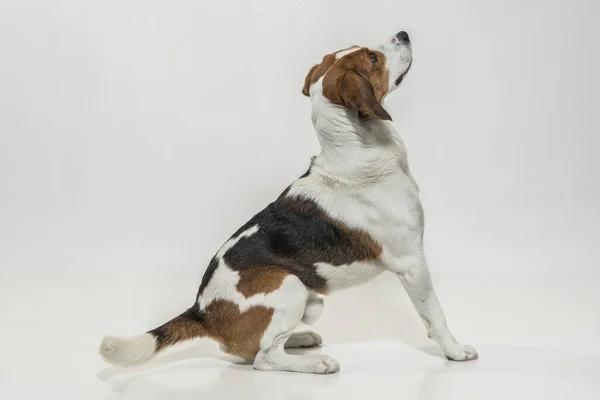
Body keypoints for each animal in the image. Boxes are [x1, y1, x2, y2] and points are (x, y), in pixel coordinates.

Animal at [101, 29, 480, 374]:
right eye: (373, 57)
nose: (402, 33)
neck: (356, 150)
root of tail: (201, 311)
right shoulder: (412, 262)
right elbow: (435, 314)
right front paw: (455, 351)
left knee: (252, 349)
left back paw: (300, 339)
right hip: (289, 285)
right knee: (265, 359)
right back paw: (317, 363)